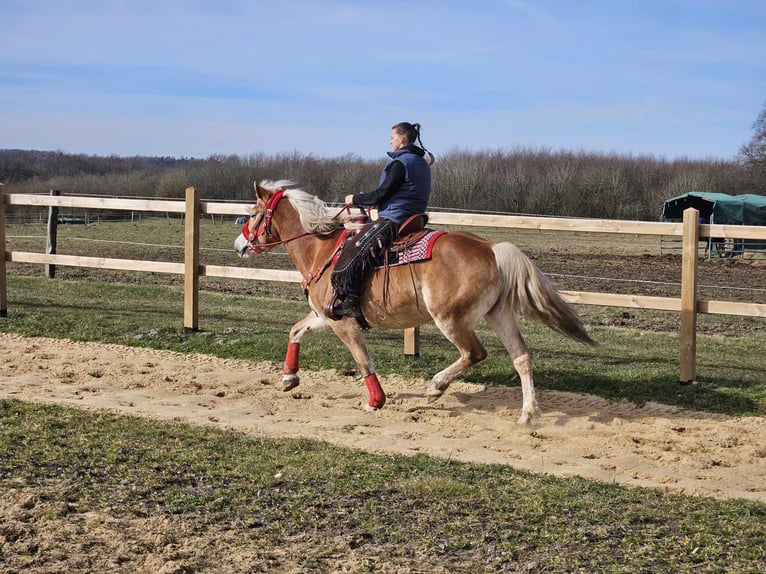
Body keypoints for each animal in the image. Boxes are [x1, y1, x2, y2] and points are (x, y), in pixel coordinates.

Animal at [237, 180, 596, 428]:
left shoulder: (344, 323)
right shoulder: (326, 316)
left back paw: (436, 386)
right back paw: (527, 414)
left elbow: (363, 361)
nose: (240, 244)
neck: (321, 249)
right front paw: (289, 378)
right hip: (499, 315)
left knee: (474, 353)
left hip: (451, 319)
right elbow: (295, 331)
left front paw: (376, 401)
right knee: (521, 358)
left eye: (252, 215)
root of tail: (491, 249)